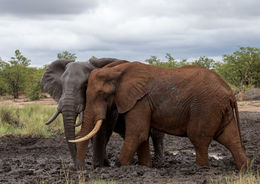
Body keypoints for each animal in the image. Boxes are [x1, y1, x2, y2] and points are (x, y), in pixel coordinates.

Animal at [70, 59, 249, 170]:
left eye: (102, 94)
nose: (81, 169)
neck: (117, 71)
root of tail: (230, 92)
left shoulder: (139, 101)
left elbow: (137, 133)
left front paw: (121, 166)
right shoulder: (140, 101)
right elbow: (141, 135)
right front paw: (145, 166)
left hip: (206, 107)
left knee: (199, 138)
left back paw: (201, 168)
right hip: (218, 109)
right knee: (230, 138)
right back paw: (244, 169)